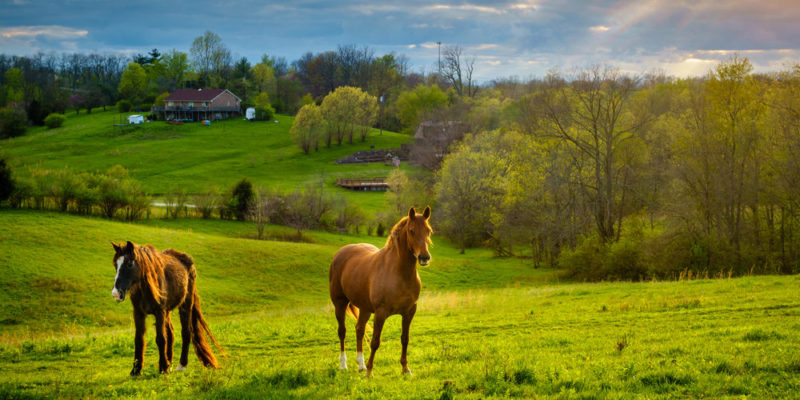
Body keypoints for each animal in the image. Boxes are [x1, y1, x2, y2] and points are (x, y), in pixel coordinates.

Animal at [110, 241, 222, 376]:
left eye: (129, 264)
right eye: (115, 264)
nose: (116, 293)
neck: (146, 288)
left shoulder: (160, 312)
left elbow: (161, 339)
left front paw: (163, 368)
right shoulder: (138, 313)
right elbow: (139, 339)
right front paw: (136, 370)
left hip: (185, 305)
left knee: (186, 332)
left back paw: (181, 365)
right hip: (168, 312)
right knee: (171, 333)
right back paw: (170, 363)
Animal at [330, 205, 434, 376]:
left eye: (428, 231)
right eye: (411, 231)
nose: (424, 257)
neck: (399, 274)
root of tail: (341, 253)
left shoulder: (409, 312)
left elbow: (405, 339)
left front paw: (405, 369)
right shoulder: (380, 313)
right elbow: (375, 342)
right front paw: (370, 372)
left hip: (365, 308)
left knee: (359, 330)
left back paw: (361, 365)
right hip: (340, 304)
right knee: (342, 331)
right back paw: (343, 365)